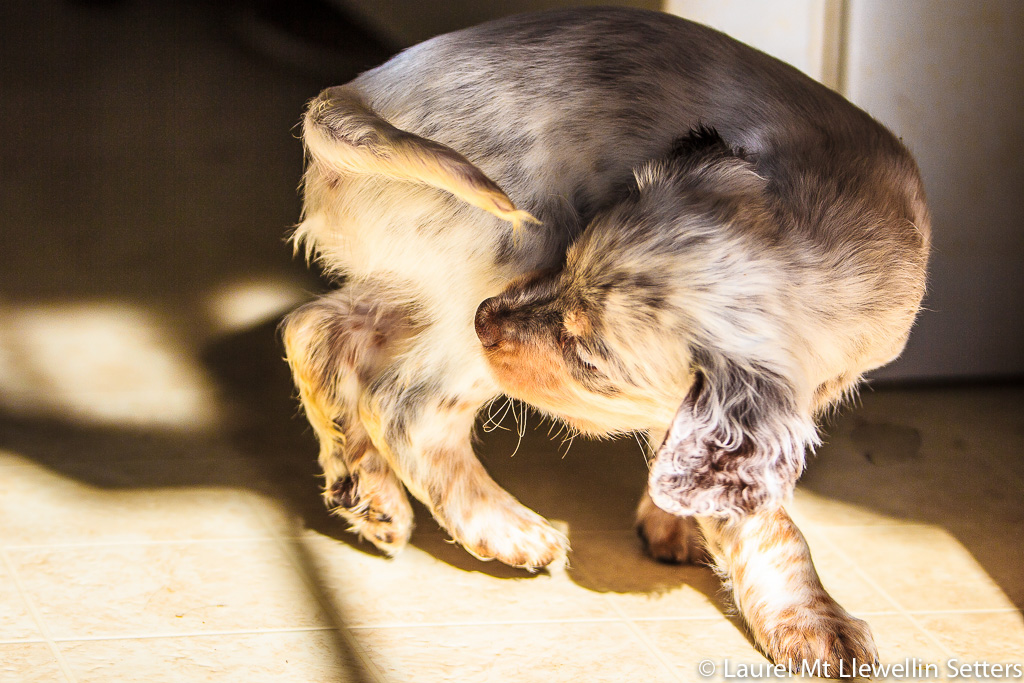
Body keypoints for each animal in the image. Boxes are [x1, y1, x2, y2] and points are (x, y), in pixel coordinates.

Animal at [282, 7, 929, 675]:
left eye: (590, 360)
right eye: (569, 262)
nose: (487, 317)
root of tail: (360, 93)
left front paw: (672, 521)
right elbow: (772, 529)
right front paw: (818, 623)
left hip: (425, 285)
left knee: (315, 329)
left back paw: (366, 491)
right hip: (481, 280)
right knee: (404, 407)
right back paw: (504, 528)